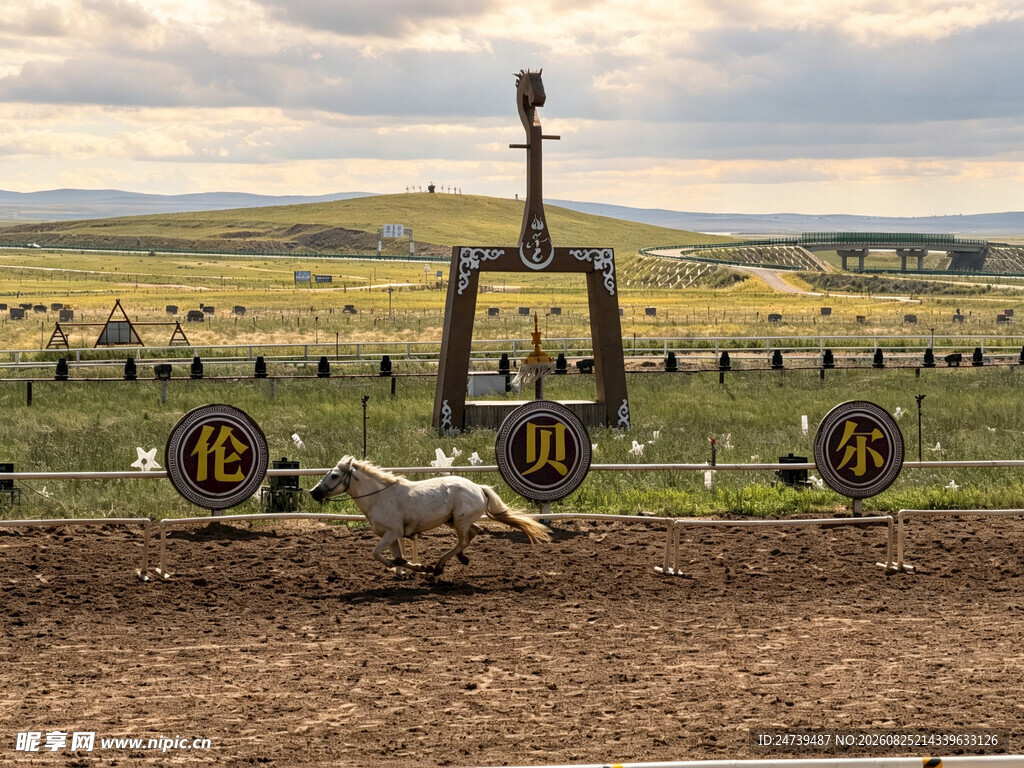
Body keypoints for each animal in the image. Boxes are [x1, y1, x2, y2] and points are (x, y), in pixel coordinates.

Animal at [309, 456, 550, 576]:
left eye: (334, 475)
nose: (313, 492)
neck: (380, 496)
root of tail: (479, 488)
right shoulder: (393, 535)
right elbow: (396, 557)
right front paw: (411, 568)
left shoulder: (391, 533)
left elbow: (377, 554)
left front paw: (420, 567)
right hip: (456, 521)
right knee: (474, 532)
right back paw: (458, 559)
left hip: (460, 521)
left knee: (464, 540)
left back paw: (439, 566)